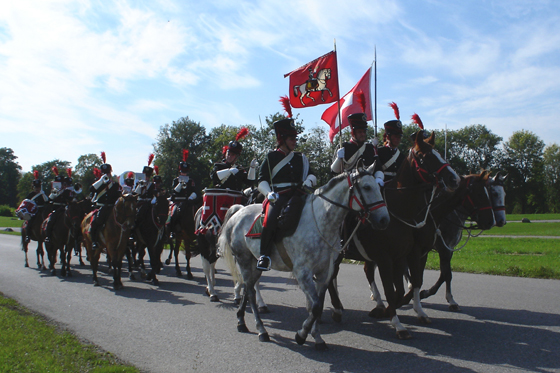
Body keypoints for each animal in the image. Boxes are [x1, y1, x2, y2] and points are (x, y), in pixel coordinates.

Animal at [219, 166, 390, 348]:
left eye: (378, 186)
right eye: (366, 187)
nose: (384, 220)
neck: (321, 223)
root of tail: (239, 211)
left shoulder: (324, 273)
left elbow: (318, 305)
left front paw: (317, 337)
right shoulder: (303, 273)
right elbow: (314, 306)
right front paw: (301, 335)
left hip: (254, 264)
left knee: (248, 287)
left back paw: (241, 321)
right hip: (243, 260)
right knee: (250, 292)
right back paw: (261, 330)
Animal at [328, 130, 460, 338]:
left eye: (439, 154)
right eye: (423, 156)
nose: (454, 179)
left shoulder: (404, 255)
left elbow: (407, 285)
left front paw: (398, 311)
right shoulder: (386, 259)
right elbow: (393, 290)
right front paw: (397, 324)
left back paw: (342, 306)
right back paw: (337, 308)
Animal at [420, 171, 508, 308]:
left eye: (504, 194)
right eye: (494, 193)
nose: (501, 221)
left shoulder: (449, 249)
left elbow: (444, 274)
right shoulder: (443, 248)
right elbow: (446, 274)